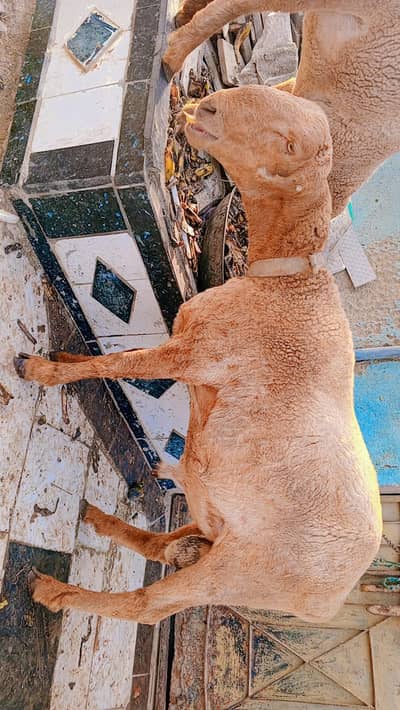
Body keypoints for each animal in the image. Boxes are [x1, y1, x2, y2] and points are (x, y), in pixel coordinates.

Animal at [15, 85, 382, 625]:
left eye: (284, 140)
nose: (205, 106)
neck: (289, 284)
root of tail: (331, 602)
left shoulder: (197, 356)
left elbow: (121, 363)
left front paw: (40, 370)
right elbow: (120, 358)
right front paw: (64, 358)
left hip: (241, 570)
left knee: (150, 603)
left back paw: (53, 591)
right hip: (214, 522)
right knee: (166, 546)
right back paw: (99, 519)